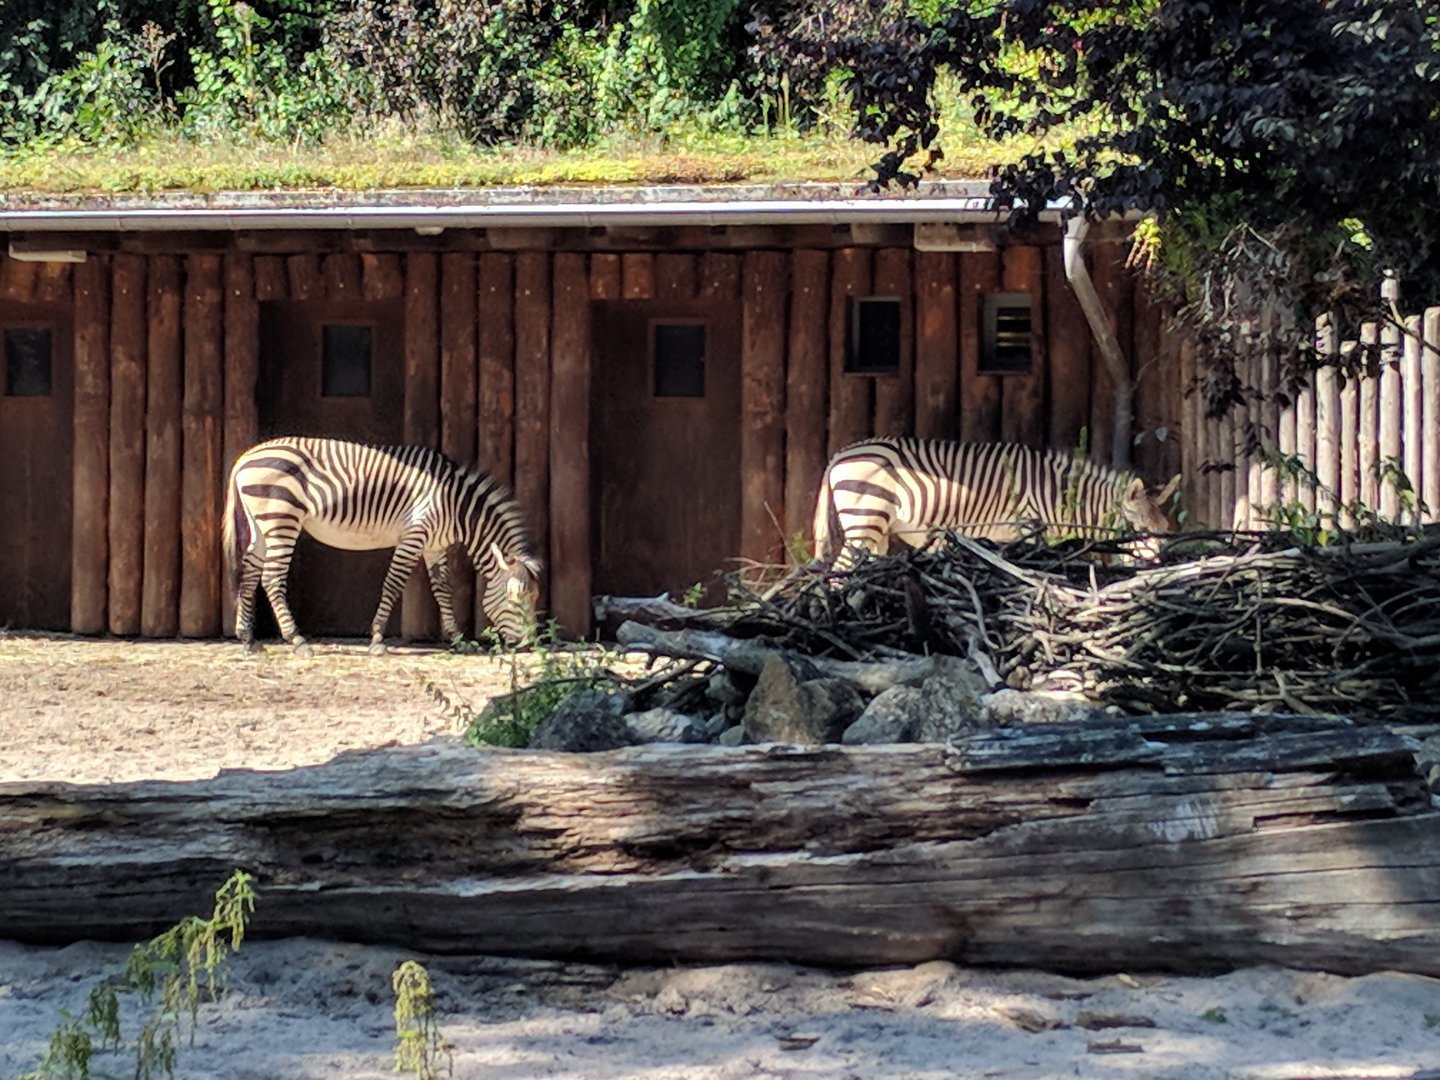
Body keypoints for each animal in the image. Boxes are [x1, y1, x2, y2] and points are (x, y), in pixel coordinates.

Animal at [223, 437, 542, 655]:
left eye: (535, 598)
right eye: (515, 598)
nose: (528, 645)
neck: (456, 505)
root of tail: (245, 457)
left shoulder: (435, 546)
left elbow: (443, 590)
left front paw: (457, 638)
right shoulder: (414, 535)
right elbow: (393, 584)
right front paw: (377, 639)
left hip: (261, 523)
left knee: (250, 571)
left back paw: (247, 639)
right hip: (281, 517)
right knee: (271, 578)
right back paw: (297, 640)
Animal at [813, 438, 1180, 570]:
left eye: (1165, 529)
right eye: (1138, 528)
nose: (1156, 566)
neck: (1056, 494)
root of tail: (840, 454)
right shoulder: (1028, 529)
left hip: (879, 530)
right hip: (865, 517)